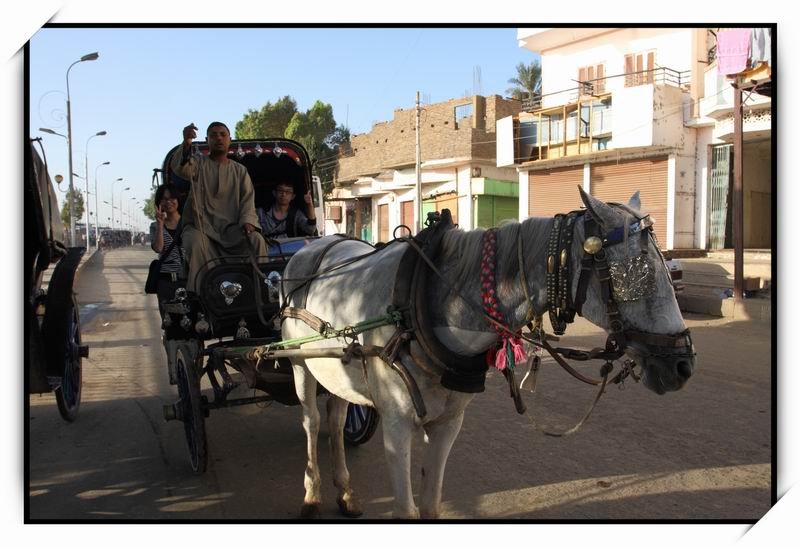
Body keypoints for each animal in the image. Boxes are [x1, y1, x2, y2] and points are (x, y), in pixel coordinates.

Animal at [282, 189, 692, 520]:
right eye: (639, 273)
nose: (682, 364)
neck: (426, 302)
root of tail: (312, 246)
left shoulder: (448, 424)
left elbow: (431, 506)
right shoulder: (396, 425)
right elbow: (406, 511)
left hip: (337, 369)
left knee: (336, 421)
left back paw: (346, 493)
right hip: (301, 365)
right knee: (312, 422)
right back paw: (312, 494)